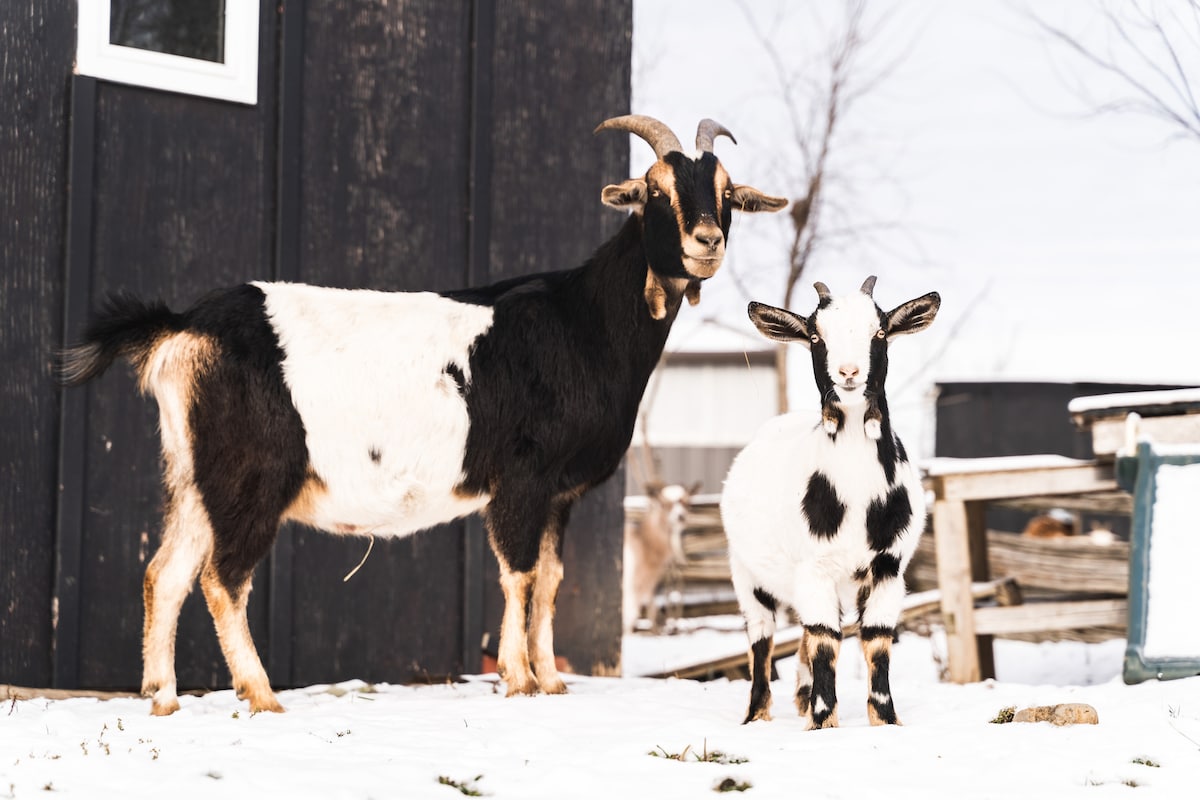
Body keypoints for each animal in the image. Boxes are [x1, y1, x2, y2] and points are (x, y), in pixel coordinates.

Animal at [720, 276, 940, 728]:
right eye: (816, 337)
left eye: (880, 332)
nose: (849, 372)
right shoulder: (814, 567)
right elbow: (825, 640)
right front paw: (822, 721)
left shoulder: (889, 568)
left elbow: (875, 639)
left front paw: (886, 720)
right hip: (745, 572)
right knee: (762, 637)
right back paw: (756, 714)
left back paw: (801, 697)